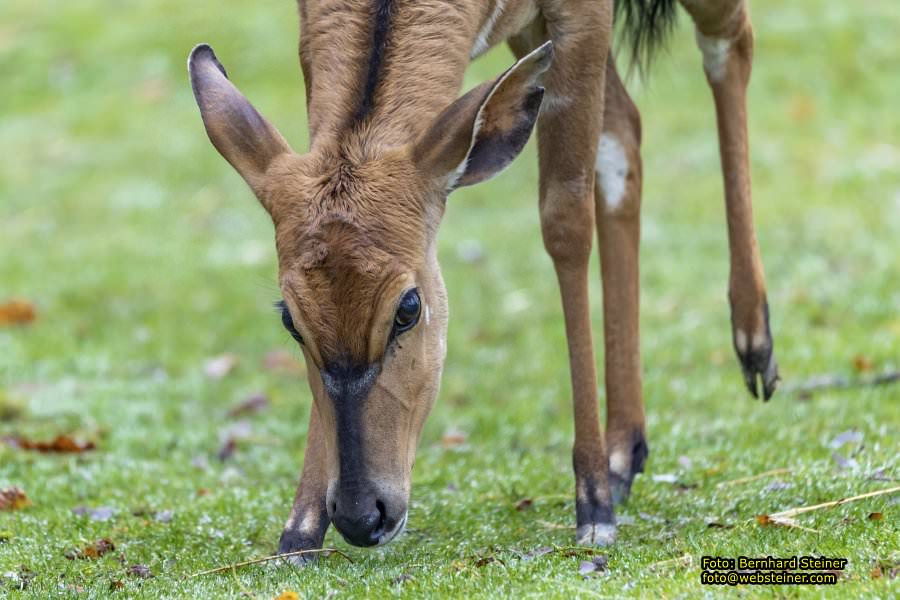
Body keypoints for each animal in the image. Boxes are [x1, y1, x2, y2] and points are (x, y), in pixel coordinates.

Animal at [192, 0, 780, 552]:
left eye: (408, 307)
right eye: (290, 319)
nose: (362, 516)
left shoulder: (582, 17)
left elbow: (565, 221)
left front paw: (593, 509)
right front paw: (300, 532)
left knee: (729, 44)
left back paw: (755, 346)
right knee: (624, 132)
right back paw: (622, 454)